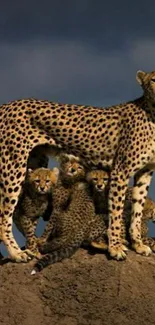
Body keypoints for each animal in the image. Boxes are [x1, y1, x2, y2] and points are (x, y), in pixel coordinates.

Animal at [0, 69, 155, 260]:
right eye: (153, 79)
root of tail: (7, 105)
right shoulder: (120, 171)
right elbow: (116, 212)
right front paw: (115, 247)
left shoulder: (145, 172)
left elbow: (137, 210)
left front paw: (138, 244)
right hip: (14, 166)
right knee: (4, 214)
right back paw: (16, 253)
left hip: (35, 164)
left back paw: (33, 246)